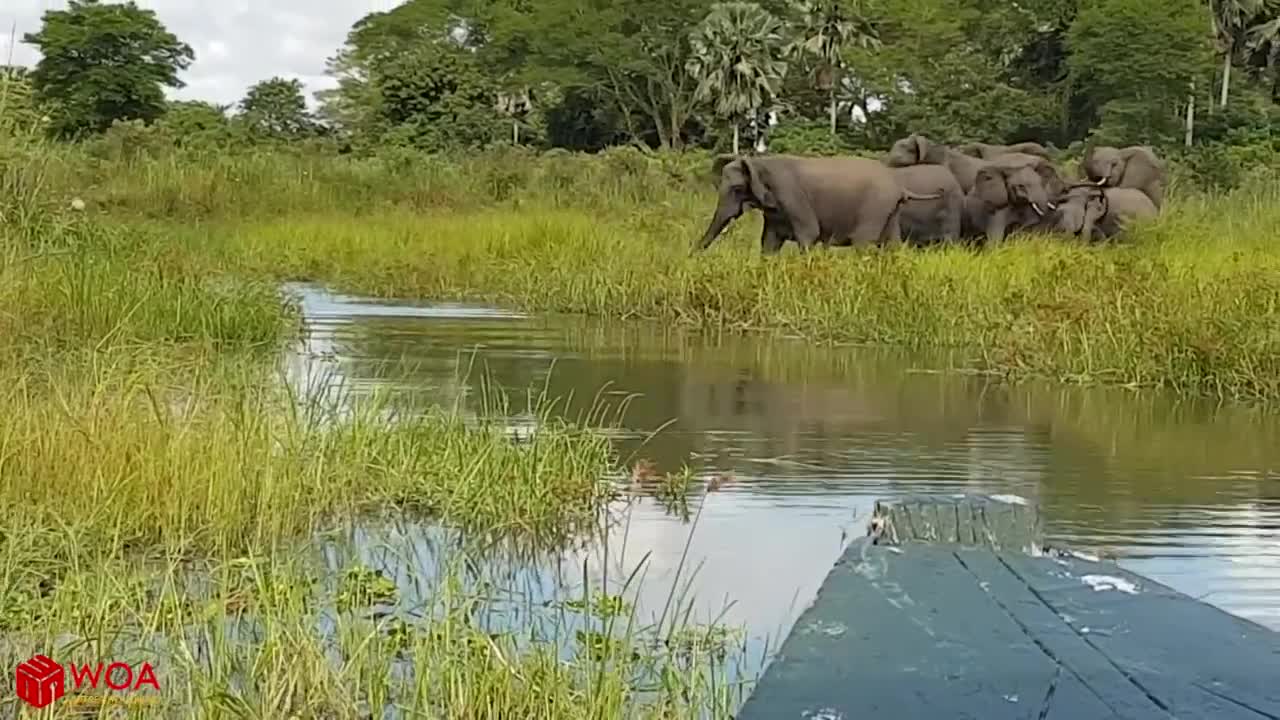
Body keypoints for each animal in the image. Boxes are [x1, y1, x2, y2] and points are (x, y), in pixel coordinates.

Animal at [696, 152, 936, 253]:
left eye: (737, 189)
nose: (693, 257)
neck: (759, 161)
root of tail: (898, 186)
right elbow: (769, 242)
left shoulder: (792, 196)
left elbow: (809, 234)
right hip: (890, 210)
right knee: (893, 244)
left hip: (875, 206)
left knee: (863, 242)